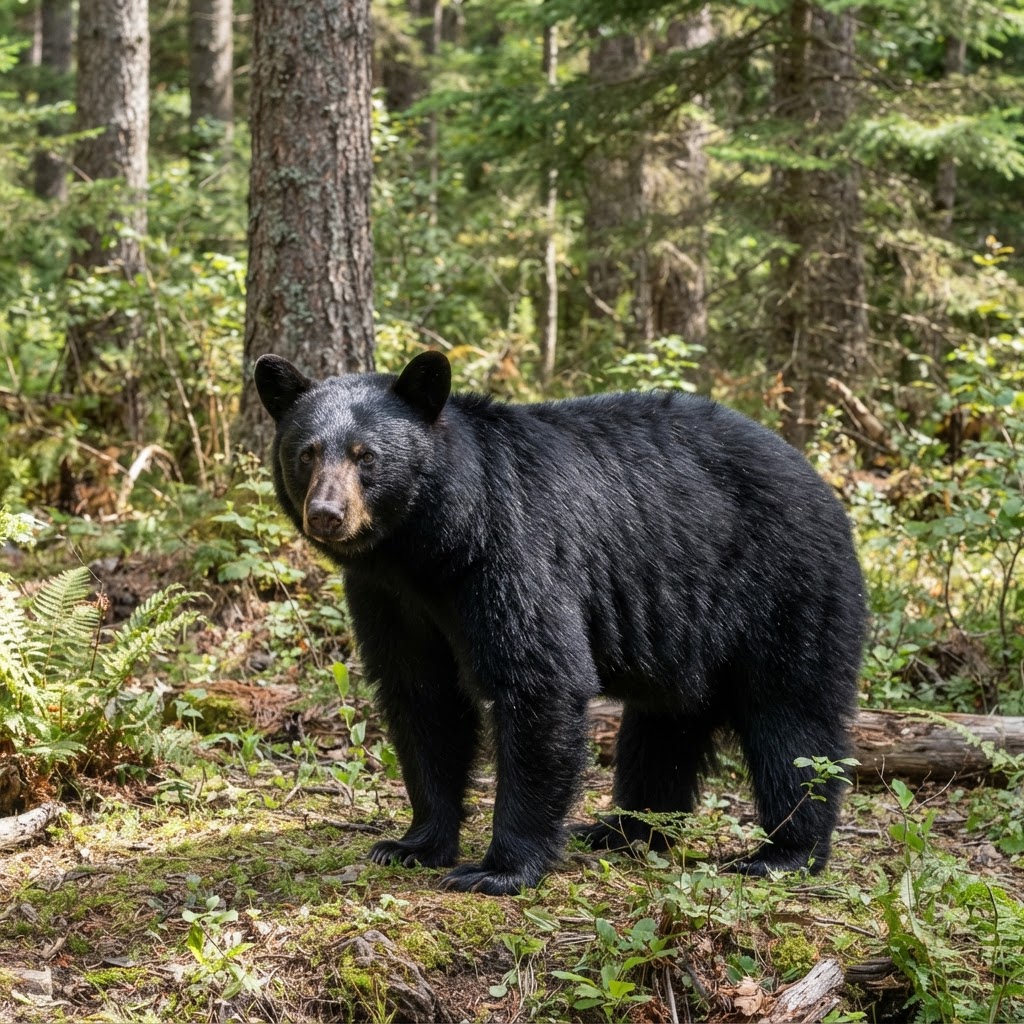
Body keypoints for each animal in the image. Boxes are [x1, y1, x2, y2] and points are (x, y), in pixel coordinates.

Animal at [254, 350, 866, 896]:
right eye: (306, 453)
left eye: (366, 456)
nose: (327, 514)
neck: (430, 548)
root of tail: (822, 485)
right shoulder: (389, 597)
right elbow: (422, 697)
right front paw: (413, 844)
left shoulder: (512, 551)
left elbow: (539, 678)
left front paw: (498, 869)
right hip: (688, 631)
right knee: (663, 727)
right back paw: (623, 829)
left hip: (784, 589)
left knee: (792, 722)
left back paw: (782, 854)